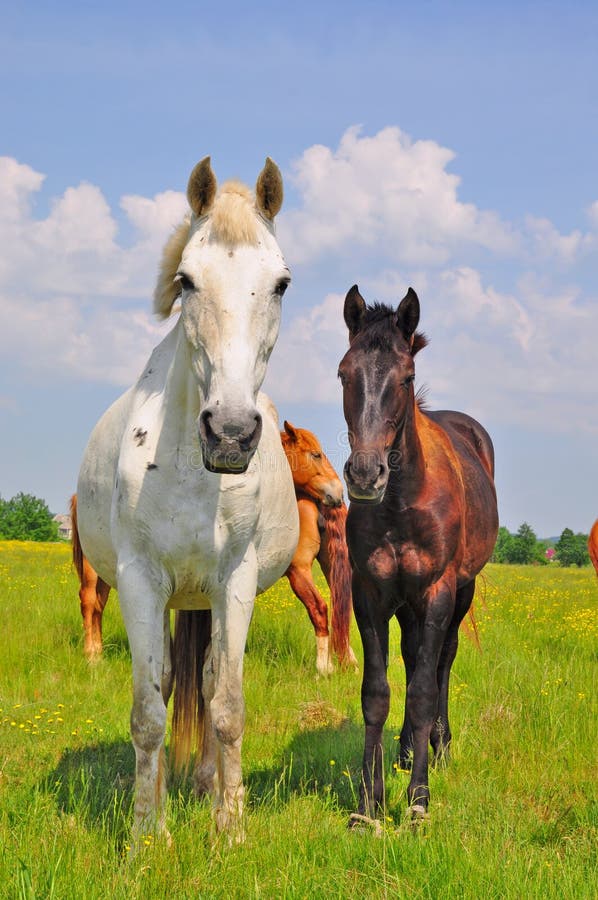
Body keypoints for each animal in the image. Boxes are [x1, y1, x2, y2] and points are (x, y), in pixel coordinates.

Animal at [77, 160, 300, 844]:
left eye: (281, 284)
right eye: (186, 280)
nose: (229, 432)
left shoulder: (234, 581)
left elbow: (225, 706)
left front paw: (230, 825)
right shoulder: (140, 581)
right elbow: (150, 712)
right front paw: (147, 833)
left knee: (203, 683)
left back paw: (206, 785)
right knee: (176, 684)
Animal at [338, 286, 502, 824]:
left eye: (406, 377)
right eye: (344, 373)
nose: (365, 474)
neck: (401, 501)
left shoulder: (436, 592)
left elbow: (427, 688)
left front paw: (417, 802)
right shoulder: (371, 595)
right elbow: (378, 693)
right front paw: (368, 804)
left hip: (459, 592)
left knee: (441, 663)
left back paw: (439, 747)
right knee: (413, 661)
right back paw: (409, 750)